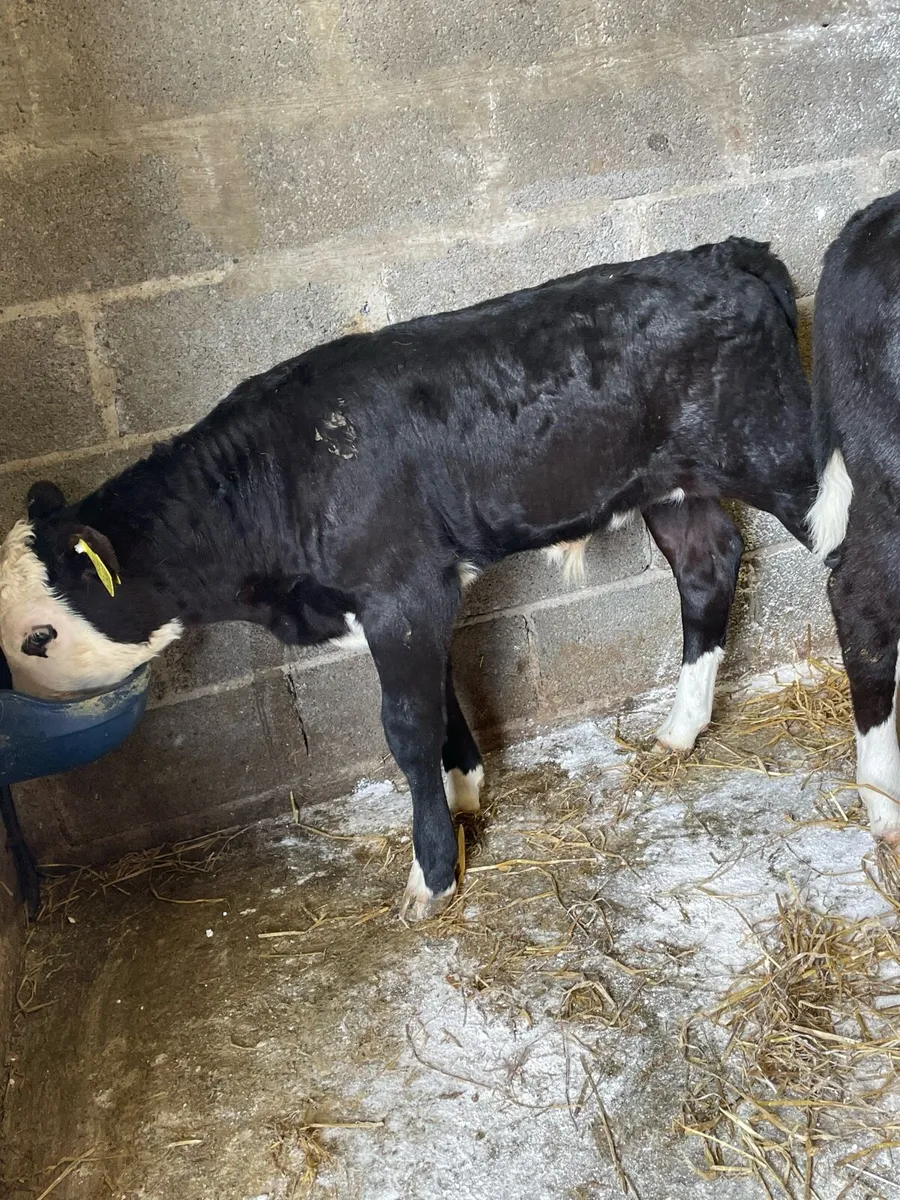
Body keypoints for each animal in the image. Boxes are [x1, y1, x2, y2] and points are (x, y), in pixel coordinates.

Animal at [0, 237, 817, 919]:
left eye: (39, 636)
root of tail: (723, 254)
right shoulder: (419, 597)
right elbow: (437, 695)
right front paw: (463, 797)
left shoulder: (402, 594)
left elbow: (405, 726)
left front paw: (433, 874)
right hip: (674, 486)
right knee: (707, 564)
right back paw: (681, 729)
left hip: (782, 455)